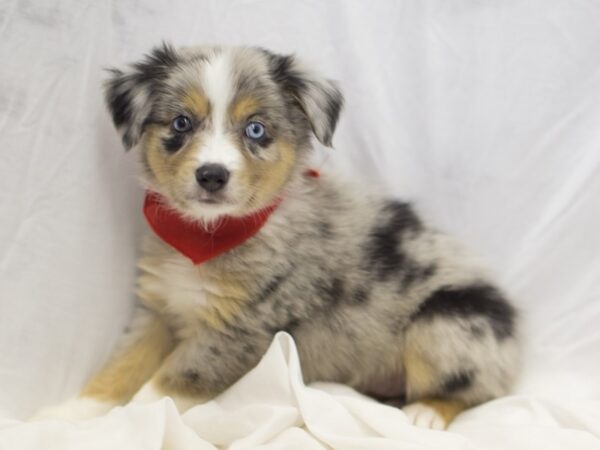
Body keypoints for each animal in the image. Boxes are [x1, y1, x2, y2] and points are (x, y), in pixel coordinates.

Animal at [32, 43, 520, 428]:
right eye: (181, 124)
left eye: (256, 129)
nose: (212, 175)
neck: (209, 234)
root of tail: (515, 337)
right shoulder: (156, 311)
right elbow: (117, 370)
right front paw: (64, 418)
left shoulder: (240, 330)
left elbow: (162, 388)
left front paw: (130, 425)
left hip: (447, 322)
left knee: (482, 390)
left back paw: (427, 413)